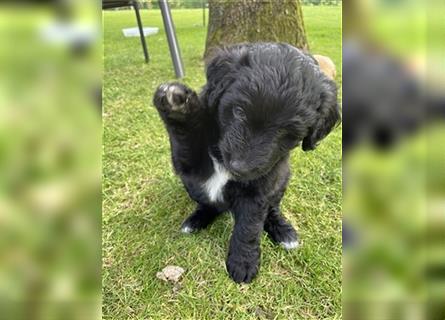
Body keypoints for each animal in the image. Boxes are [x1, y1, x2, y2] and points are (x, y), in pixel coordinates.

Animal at [153, 42, 340, 282]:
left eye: (287, 131)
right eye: (239, 111)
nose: (239, 167)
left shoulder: (260, 188)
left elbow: (249, 226)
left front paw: (243, 262)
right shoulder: (190, 164)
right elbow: (188, 138)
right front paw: (176, 103)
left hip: (282, 180)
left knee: (272, 208)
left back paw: (284, 231)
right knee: (208, 204)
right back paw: (196, 219)